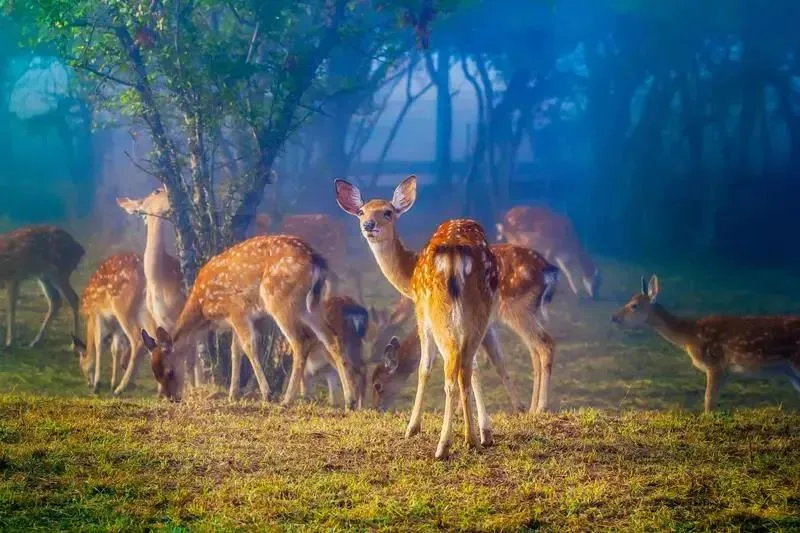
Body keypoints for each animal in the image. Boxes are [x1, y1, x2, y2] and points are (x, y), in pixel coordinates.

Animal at [72, 251, 155, 392]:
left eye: (81, 366)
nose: (88, 384)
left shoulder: (96, 314)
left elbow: (99, 344)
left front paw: (97, 384)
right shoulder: (116, 324)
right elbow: (114, 349)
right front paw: (112, 383)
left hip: (123, 307)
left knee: (138, 340)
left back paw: (120, 388)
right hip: (145, 310)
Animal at [140, 234, 360, 408]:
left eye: (170, 372)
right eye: (155, 373)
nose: (172, 398)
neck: (203, 307)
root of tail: (316, 261)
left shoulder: (237, 310)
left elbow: (249, 347)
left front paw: (266, 394)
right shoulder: (239, 319)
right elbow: (235, 352)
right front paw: (232, 395)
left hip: (280, 299)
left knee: (301, 341)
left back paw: (286, 400)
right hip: (311, 305)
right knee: (331, 339)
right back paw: (350, 401)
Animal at [338, 175, 506, 458]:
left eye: (388, 212)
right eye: (361, 211)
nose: (369, 225)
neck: (409, 275)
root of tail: (455, 256)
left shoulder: (420, 311)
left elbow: (423, 368)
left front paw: (412, 428)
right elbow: (473, 369)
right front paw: (486, 433)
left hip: (439, 313)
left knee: (450, 371)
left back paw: (443, 446)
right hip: (478, 309)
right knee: (464, 368)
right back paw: (471, 439)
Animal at [612, 274, 800, 412]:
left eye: (634, 305)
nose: (614, 318)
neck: (688, 336)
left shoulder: (714, 362)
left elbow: (708, 401)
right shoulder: (725, 371)